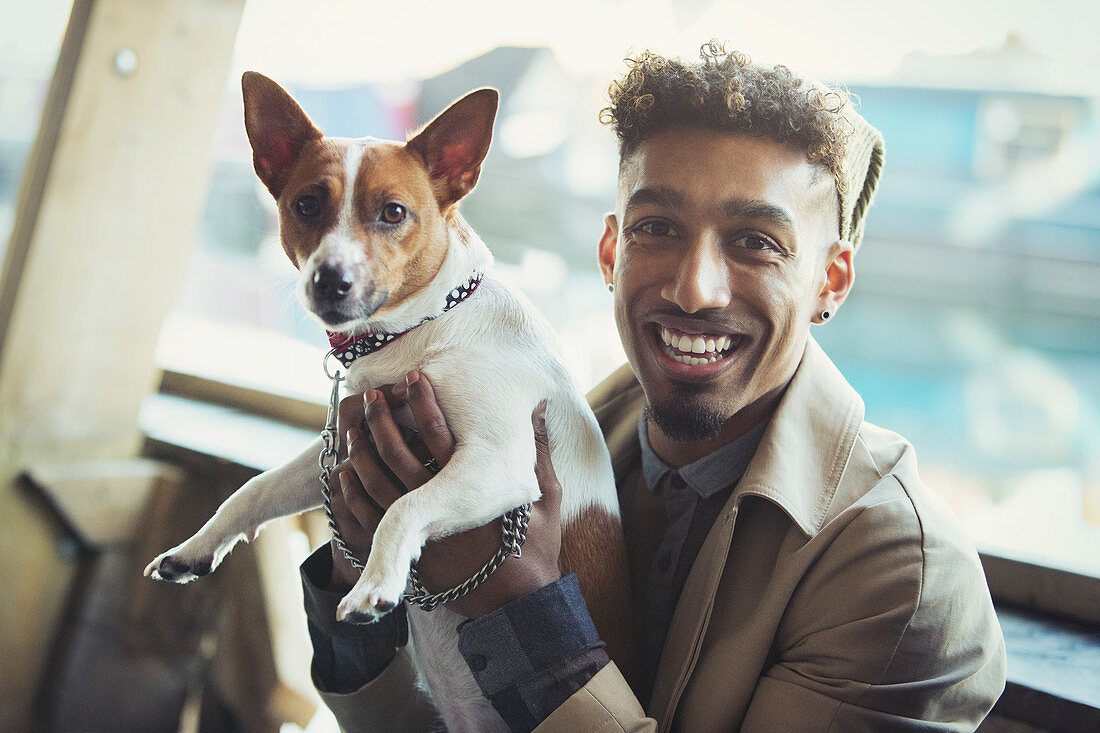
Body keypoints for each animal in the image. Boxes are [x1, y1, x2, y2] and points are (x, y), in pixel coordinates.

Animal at [141, 74, 633, 726]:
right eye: (307, 205)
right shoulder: (341, 445)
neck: (423, 328)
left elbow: (403, 506)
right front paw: (195, 548)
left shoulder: (502, 463)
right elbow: (255, 489)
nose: (329, 280)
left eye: (393, 213)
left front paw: (373, 585)